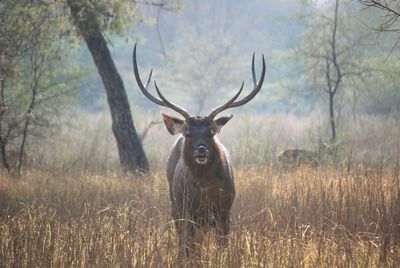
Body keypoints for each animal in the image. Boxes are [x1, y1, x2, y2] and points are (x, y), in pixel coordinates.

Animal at [133, 44, 268, 255]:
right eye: (189, 133)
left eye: (211, 132)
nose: (201, 150)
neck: (206, 192)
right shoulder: (188, 211)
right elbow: (190, 247)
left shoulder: (225, 211)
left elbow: (222, 246)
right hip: (175, 203)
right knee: (183, 239)